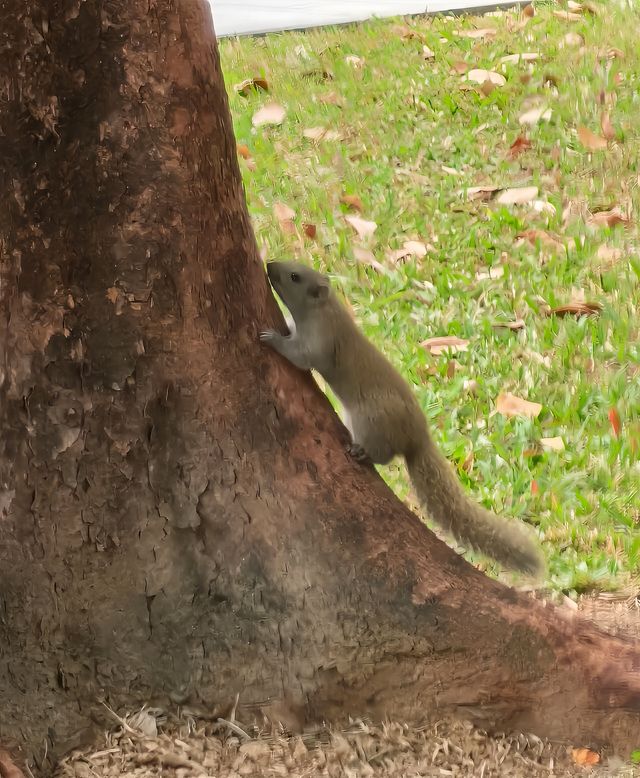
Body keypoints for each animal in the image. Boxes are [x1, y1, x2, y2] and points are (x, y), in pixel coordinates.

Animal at [260, 258, 544, 572]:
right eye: (294, 267)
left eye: (294, 276)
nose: (269, 264)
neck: (324, 309)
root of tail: (416, 439)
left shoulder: (320, 342)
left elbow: (299, 356)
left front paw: (270, 338)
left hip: (371, 420)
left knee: (385, 455)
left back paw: (362, 453)